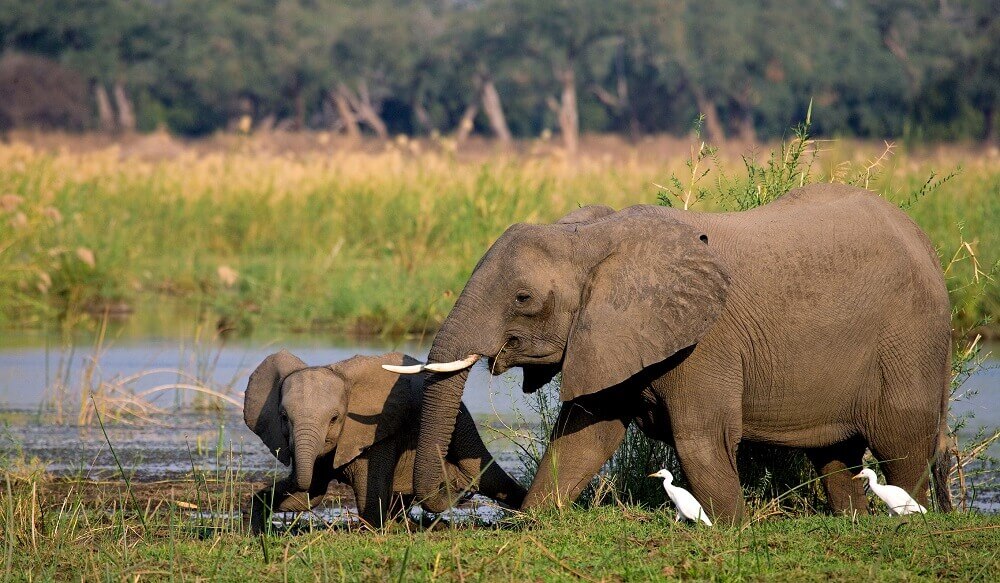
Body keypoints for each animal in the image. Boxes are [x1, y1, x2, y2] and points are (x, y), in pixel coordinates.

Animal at [244, 352, 524, 532]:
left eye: (334, 418)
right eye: (283, 417)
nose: (463, 491)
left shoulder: (377, 433)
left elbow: (367, 496)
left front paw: (372, 531)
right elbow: (309, 496)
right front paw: (257, 529)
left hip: (460, 421)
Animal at [386, 185, 948, 524]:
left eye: (523, 298)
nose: (449, 496)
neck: (594, 239)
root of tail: (927, 243)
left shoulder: (704, 343)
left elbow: (701, 439)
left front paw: (730, 529)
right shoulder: (610, 335)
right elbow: (583, 437)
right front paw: (532, 523)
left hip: (909, 338)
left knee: (902, 442)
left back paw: (911, 517)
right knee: (836, 454)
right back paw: (852, 520)